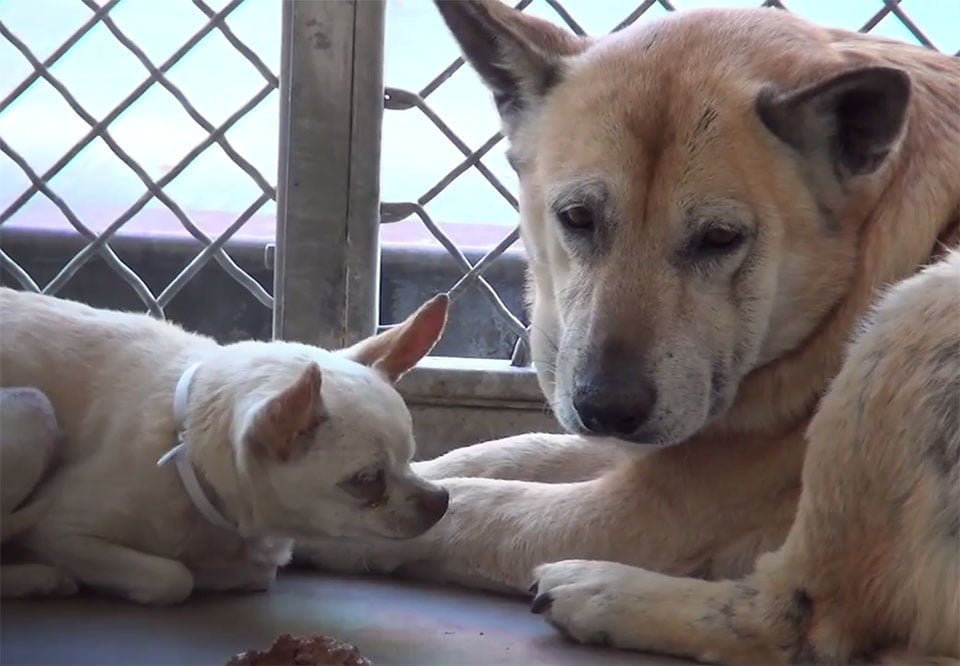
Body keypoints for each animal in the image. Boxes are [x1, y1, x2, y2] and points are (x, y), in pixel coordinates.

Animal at [302, 2, 960, 660]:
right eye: (577, 217)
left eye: (720, 238)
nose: (607, 408)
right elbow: (506, 450)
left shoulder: (640, 514)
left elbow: (471, 504)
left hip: (921, 306)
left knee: (791, 624)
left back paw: (604, 593)